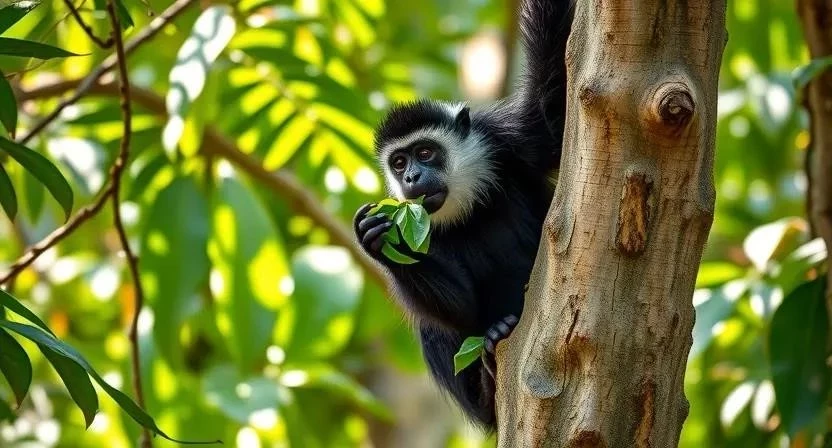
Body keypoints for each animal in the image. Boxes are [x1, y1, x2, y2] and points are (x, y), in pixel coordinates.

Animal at [354, 0, 573, 430]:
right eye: (399, 162)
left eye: (425, 152)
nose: (411, 177)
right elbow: (463, 306)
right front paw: (377, 238)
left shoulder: (506, 138)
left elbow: (555, 111)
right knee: (433, 330)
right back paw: (487, 388)